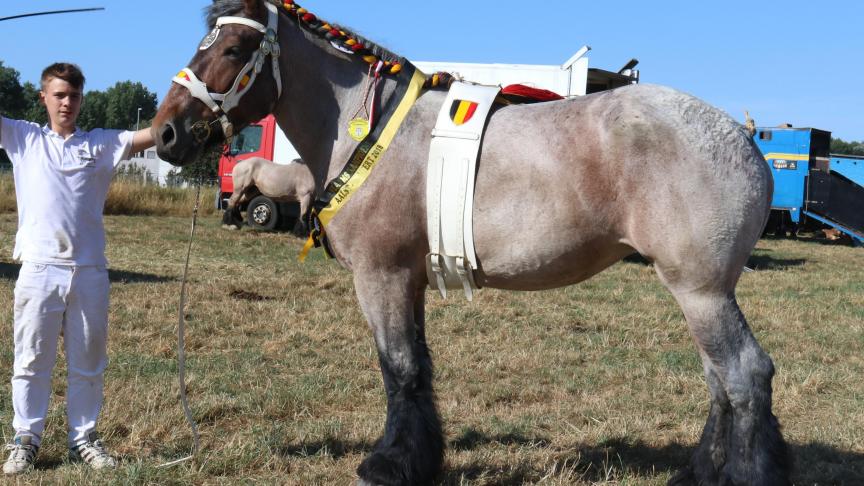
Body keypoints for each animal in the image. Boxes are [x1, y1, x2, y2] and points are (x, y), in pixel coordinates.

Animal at [150, 1, 788, 484]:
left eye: (233, 49)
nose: (167, 133)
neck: (372, 133)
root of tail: (744, 140)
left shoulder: (379, 276)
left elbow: (398, 369)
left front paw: (387, 465)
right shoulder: (408, 279)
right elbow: (418, 367)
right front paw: (420, 459)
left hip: (701, 291)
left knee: (744, 374)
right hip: (698, 293)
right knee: (719, 380)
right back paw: (698, 472)